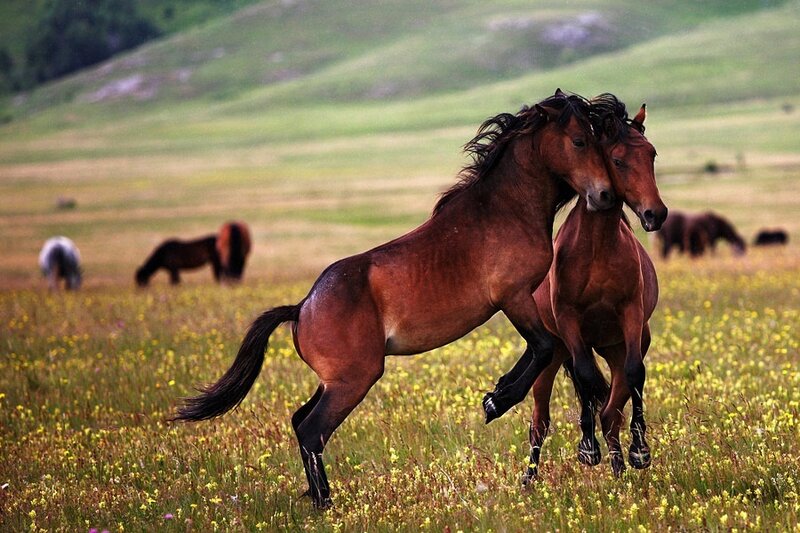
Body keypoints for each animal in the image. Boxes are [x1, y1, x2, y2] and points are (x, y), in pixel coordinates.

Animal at [172, 90, 621, 509]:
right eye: (580, 140)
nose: (603, 195)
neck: (505, 209)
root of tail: (302, 308)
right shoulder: (513, 297)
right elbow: (542, 347)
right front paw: (497, 402)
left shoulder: (521, 300)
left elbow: (541, 348)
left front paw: (497, 392)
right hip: (354, 379)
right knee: (313, 430)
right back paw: (326, 505)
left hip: (335, 380)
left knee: (300, 421)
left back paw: (320, 499)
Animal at [482, 98, 665, 480]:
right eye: (617, 159)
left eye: (651, 154)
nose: (656, 214)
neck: (598, 249)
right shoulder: (569, 319)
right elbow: (585, 377)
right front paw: (587, 446)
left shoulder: (631, 314)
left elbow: (632, 376)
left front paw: (639, 451)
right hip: (554, 358)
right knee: (541, 421)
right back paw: (531, 477)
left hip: (617, 345)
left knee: (612, 409)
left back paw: (618, 464)